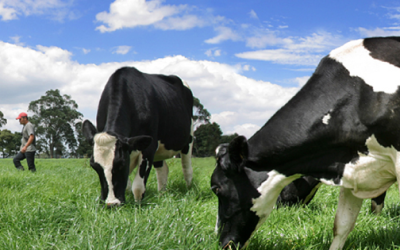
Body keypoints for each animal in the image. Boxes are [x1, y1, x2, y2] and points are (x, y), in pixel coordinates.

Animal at [82, 66, 193, 207]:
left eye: (121, 163)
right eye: (94, 166)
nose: (111, 203)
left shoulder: (149, 147)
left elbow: (138, 187)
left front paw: (138, 206)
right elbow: (127, 185)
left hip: (188, 138)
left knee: (187, 168)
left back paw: (189, 190)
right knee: (163, 170)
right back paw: (162, 194)